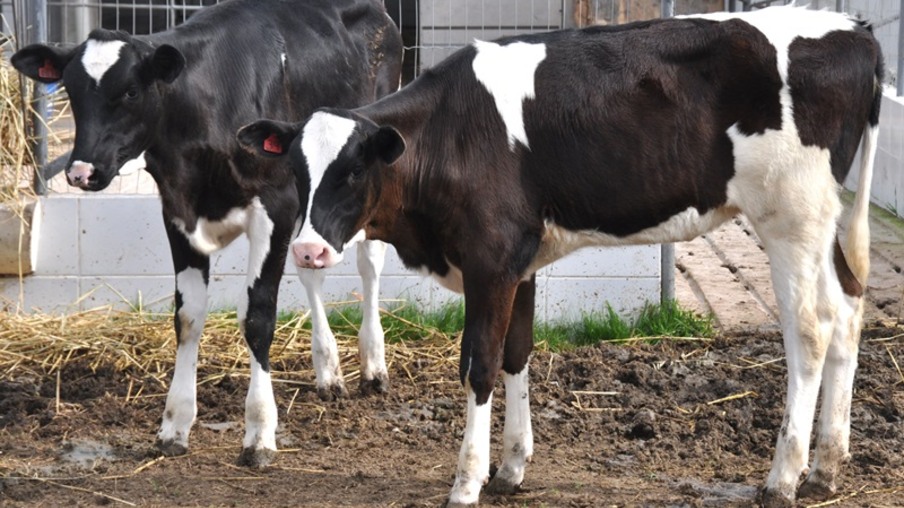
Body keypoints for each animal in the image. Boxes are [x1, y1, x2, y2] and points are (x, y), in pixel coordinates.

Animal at [12, 0, 402, 466]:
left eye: (131, 91)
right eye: (71, 90)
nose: (80, 171)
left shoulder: (275, 205)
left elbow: (257, 317)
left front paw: (259, 432)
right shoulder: (177, 212)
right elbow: (187, 316)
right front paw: (175, 425)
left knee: (369, 263)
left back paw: (373, 365)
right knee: (311, 268)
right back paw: (328, 371)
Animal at [238, 5, 883, 505]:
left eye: (352, 172)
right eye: (297, 172)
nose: (307, 249)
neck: (450, 132)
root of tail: (853, 28)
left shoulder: (490, 258)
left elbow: (479, 363)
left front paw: (467, 482)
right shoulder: (517, 259)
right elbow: (517, 353)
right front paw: (510, 469)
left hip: (790, 217)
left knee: (810, 331)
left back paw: (783, 479)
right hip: (820, 221)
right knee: (848, 309)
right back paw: (826, 467)